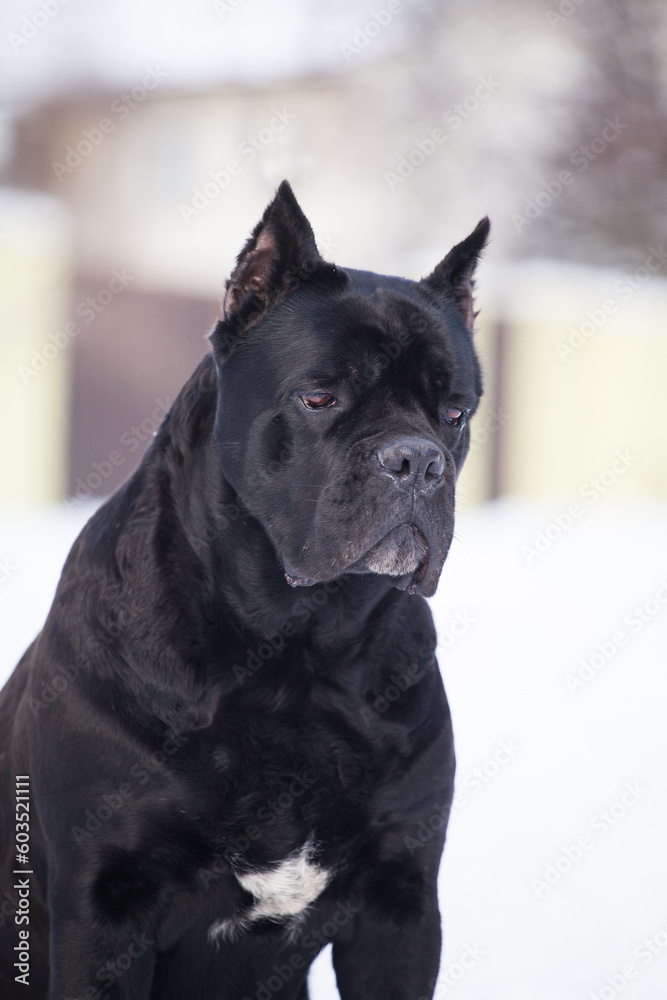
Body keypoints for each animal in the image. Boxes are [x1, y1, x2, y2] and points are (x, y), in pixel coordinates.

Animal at [0, 182, 490, 1000]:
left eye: (454, 411)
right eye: (319, 397)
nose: (417, 460)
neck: (299, 653)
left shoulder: (399, 905)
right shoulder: (104, 905)